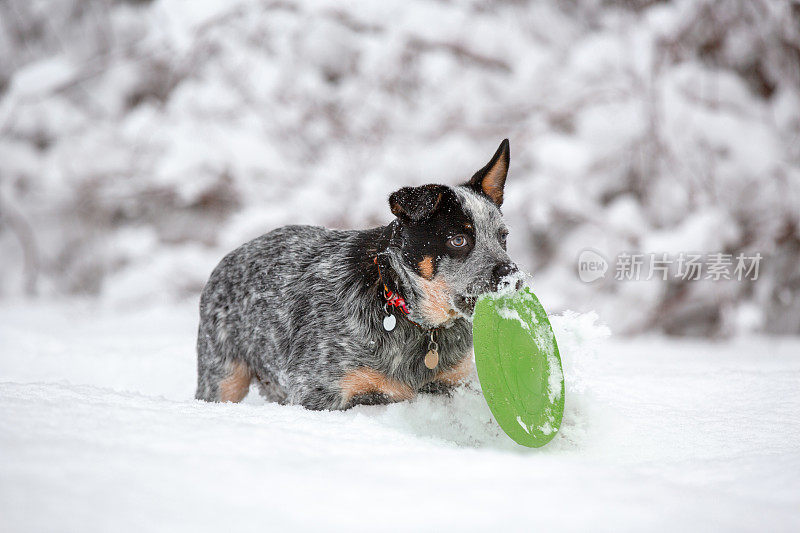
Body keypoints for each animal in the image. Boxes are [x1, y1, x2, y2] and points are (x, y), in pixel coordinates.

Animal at [197, 139, 520, 410]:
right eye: (458, 240)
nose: (512, 276)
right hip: (222, 376)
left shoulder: (453, 383)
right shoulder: (319, 392)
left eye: (503, 237)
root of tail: (227, 260)